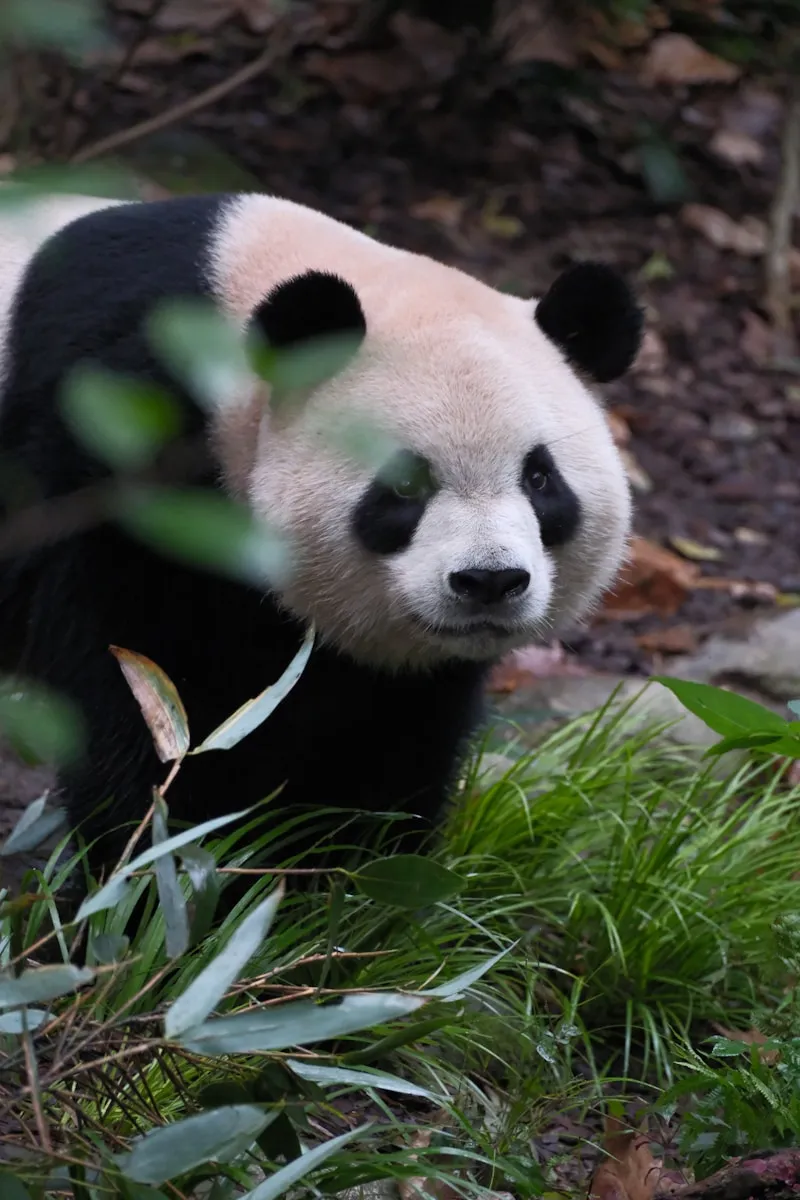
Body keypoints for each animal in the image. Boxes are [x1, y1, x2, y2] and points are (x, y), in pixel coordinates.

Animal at [0, 190, 643, 878]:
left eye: (541, 478)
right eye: (405, 485)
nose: (489, 581)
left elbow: (383, 738)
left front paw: (347, 873)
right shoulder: (112, 442)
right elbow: (138, 690)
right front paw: (147, 869)